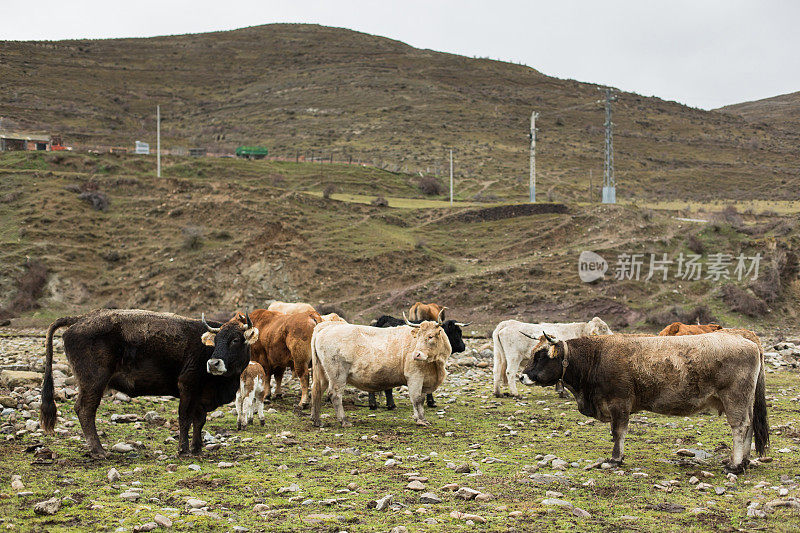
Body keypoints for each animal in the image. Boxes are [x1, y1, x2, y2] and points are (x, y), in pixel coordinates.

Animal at [39, 310, 256, 456]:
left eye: (236, 340)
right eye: (216, 340)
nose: (213, 363)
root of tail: (80, 319)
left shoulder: (200, 395)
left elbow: (199, 420)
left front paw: (197, 448)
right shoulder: (187, 387)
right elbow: (185, 418)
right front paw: (183, 449)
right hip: (93, 383)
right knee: (85, 410)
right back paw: (99, 450)